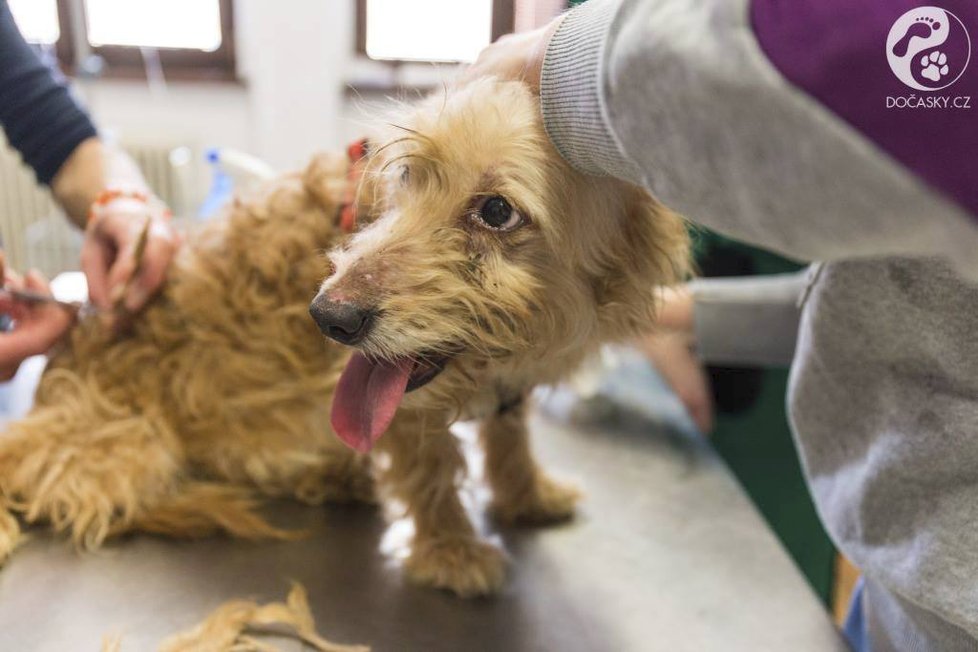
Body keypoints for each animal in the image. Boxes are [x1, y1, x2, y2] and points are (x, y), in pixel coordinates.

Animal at [0, 79, 688, 600]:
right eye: (406, 176)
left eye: (496, 211)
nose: (328, 318)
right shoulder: (403, 408)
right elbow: (433, 468)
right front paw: (452, 549)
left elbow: (510, 435)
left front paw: (527, 494)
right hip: (126, 446)